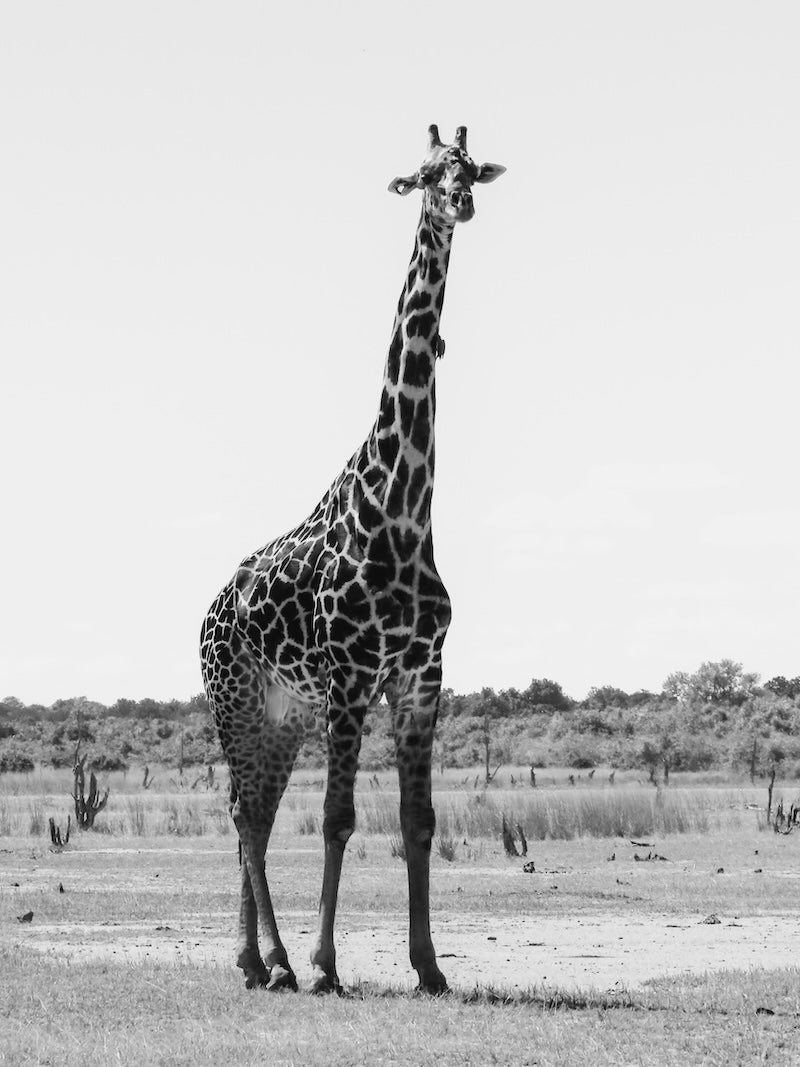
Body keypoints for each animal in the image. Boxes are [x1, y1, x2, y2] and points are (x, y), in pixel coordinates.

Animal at [200, 124, 505, 995]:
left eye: (471, 170)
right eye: (426, 173)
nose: (460, 202)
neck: (403, 510)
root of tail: (209, 609)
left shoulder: (421, 675)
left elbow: (418, 820)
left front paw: (429, 966)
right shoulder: (349, 675)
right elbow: (338, 819)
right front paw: (327, 962)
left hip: (283, 713)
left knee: (257, 810)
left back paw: (257, 959)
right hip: (236, 699)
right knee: (244, 811)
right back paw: (273, 962)